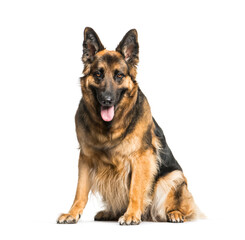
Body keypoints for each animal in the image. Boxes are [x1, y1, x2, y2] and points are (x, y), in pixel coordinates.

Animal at [56, 28, 202, 225]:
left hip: (174, 176)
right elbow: (80, 190)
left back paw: (174, 213)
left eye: (119, 75)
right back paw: (110, 212)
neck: (110, 128)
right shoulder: (86, 157)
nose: (107, 100)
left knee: (181, 206)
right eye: (98, 74)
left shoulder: (141, 158)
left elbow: (135, 189)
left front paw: (132, 214)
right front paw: (72, 213)